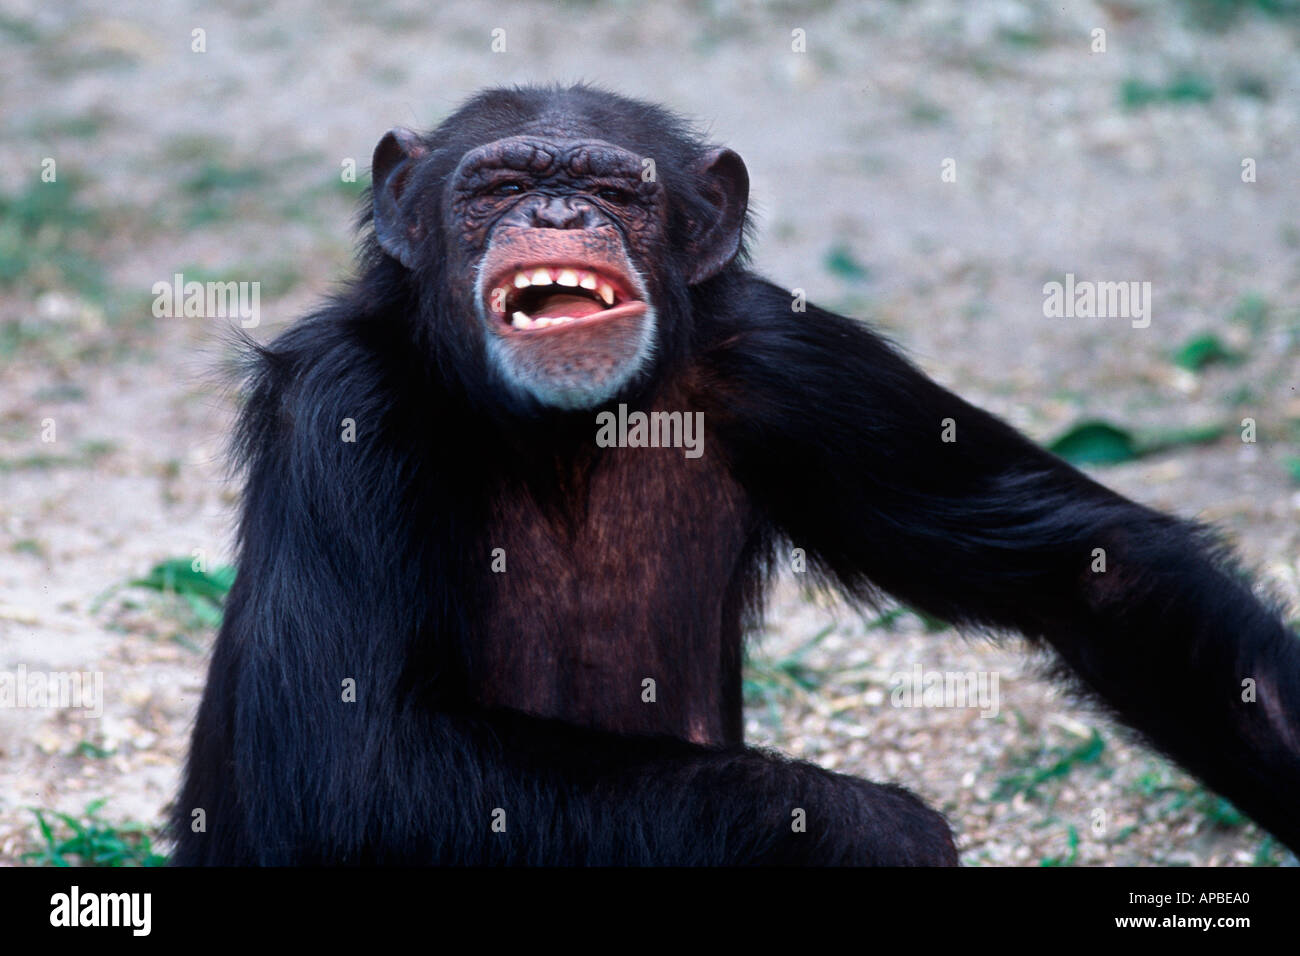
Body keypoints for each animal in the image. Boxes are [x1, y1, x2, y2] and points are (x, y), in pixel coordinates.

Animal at [172, 83, 1300, 868]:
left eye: (615, 189)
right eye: (498, 184)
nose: (560, 212)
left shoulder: (797, 361)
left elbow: (1094, 570)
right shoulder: (345, 405)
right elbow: (357, 762)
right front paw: (873, 827)